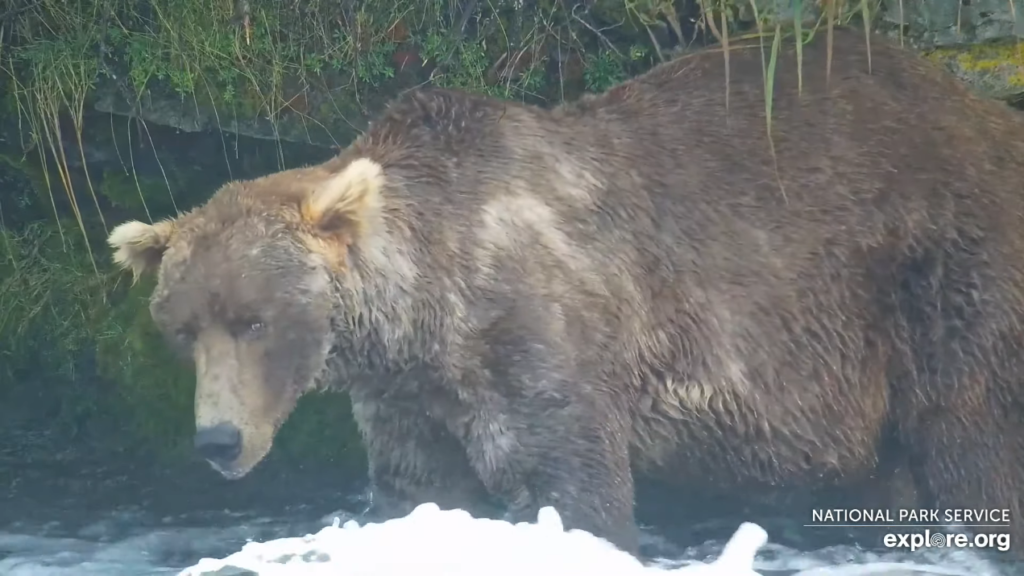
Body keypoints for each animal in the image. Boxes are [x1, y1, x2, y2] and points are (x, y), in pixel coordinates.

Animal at [105, 26, 1024, 557]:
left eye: (253, 320)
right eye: (182, 328)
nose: (218, 440)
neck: (429, 308)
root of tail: (984, 109)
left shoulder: (539, 337)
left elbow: (570, 483)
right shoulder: (407, 394)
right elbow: (418, 487)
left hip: (940, 272)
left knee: (973, 442)